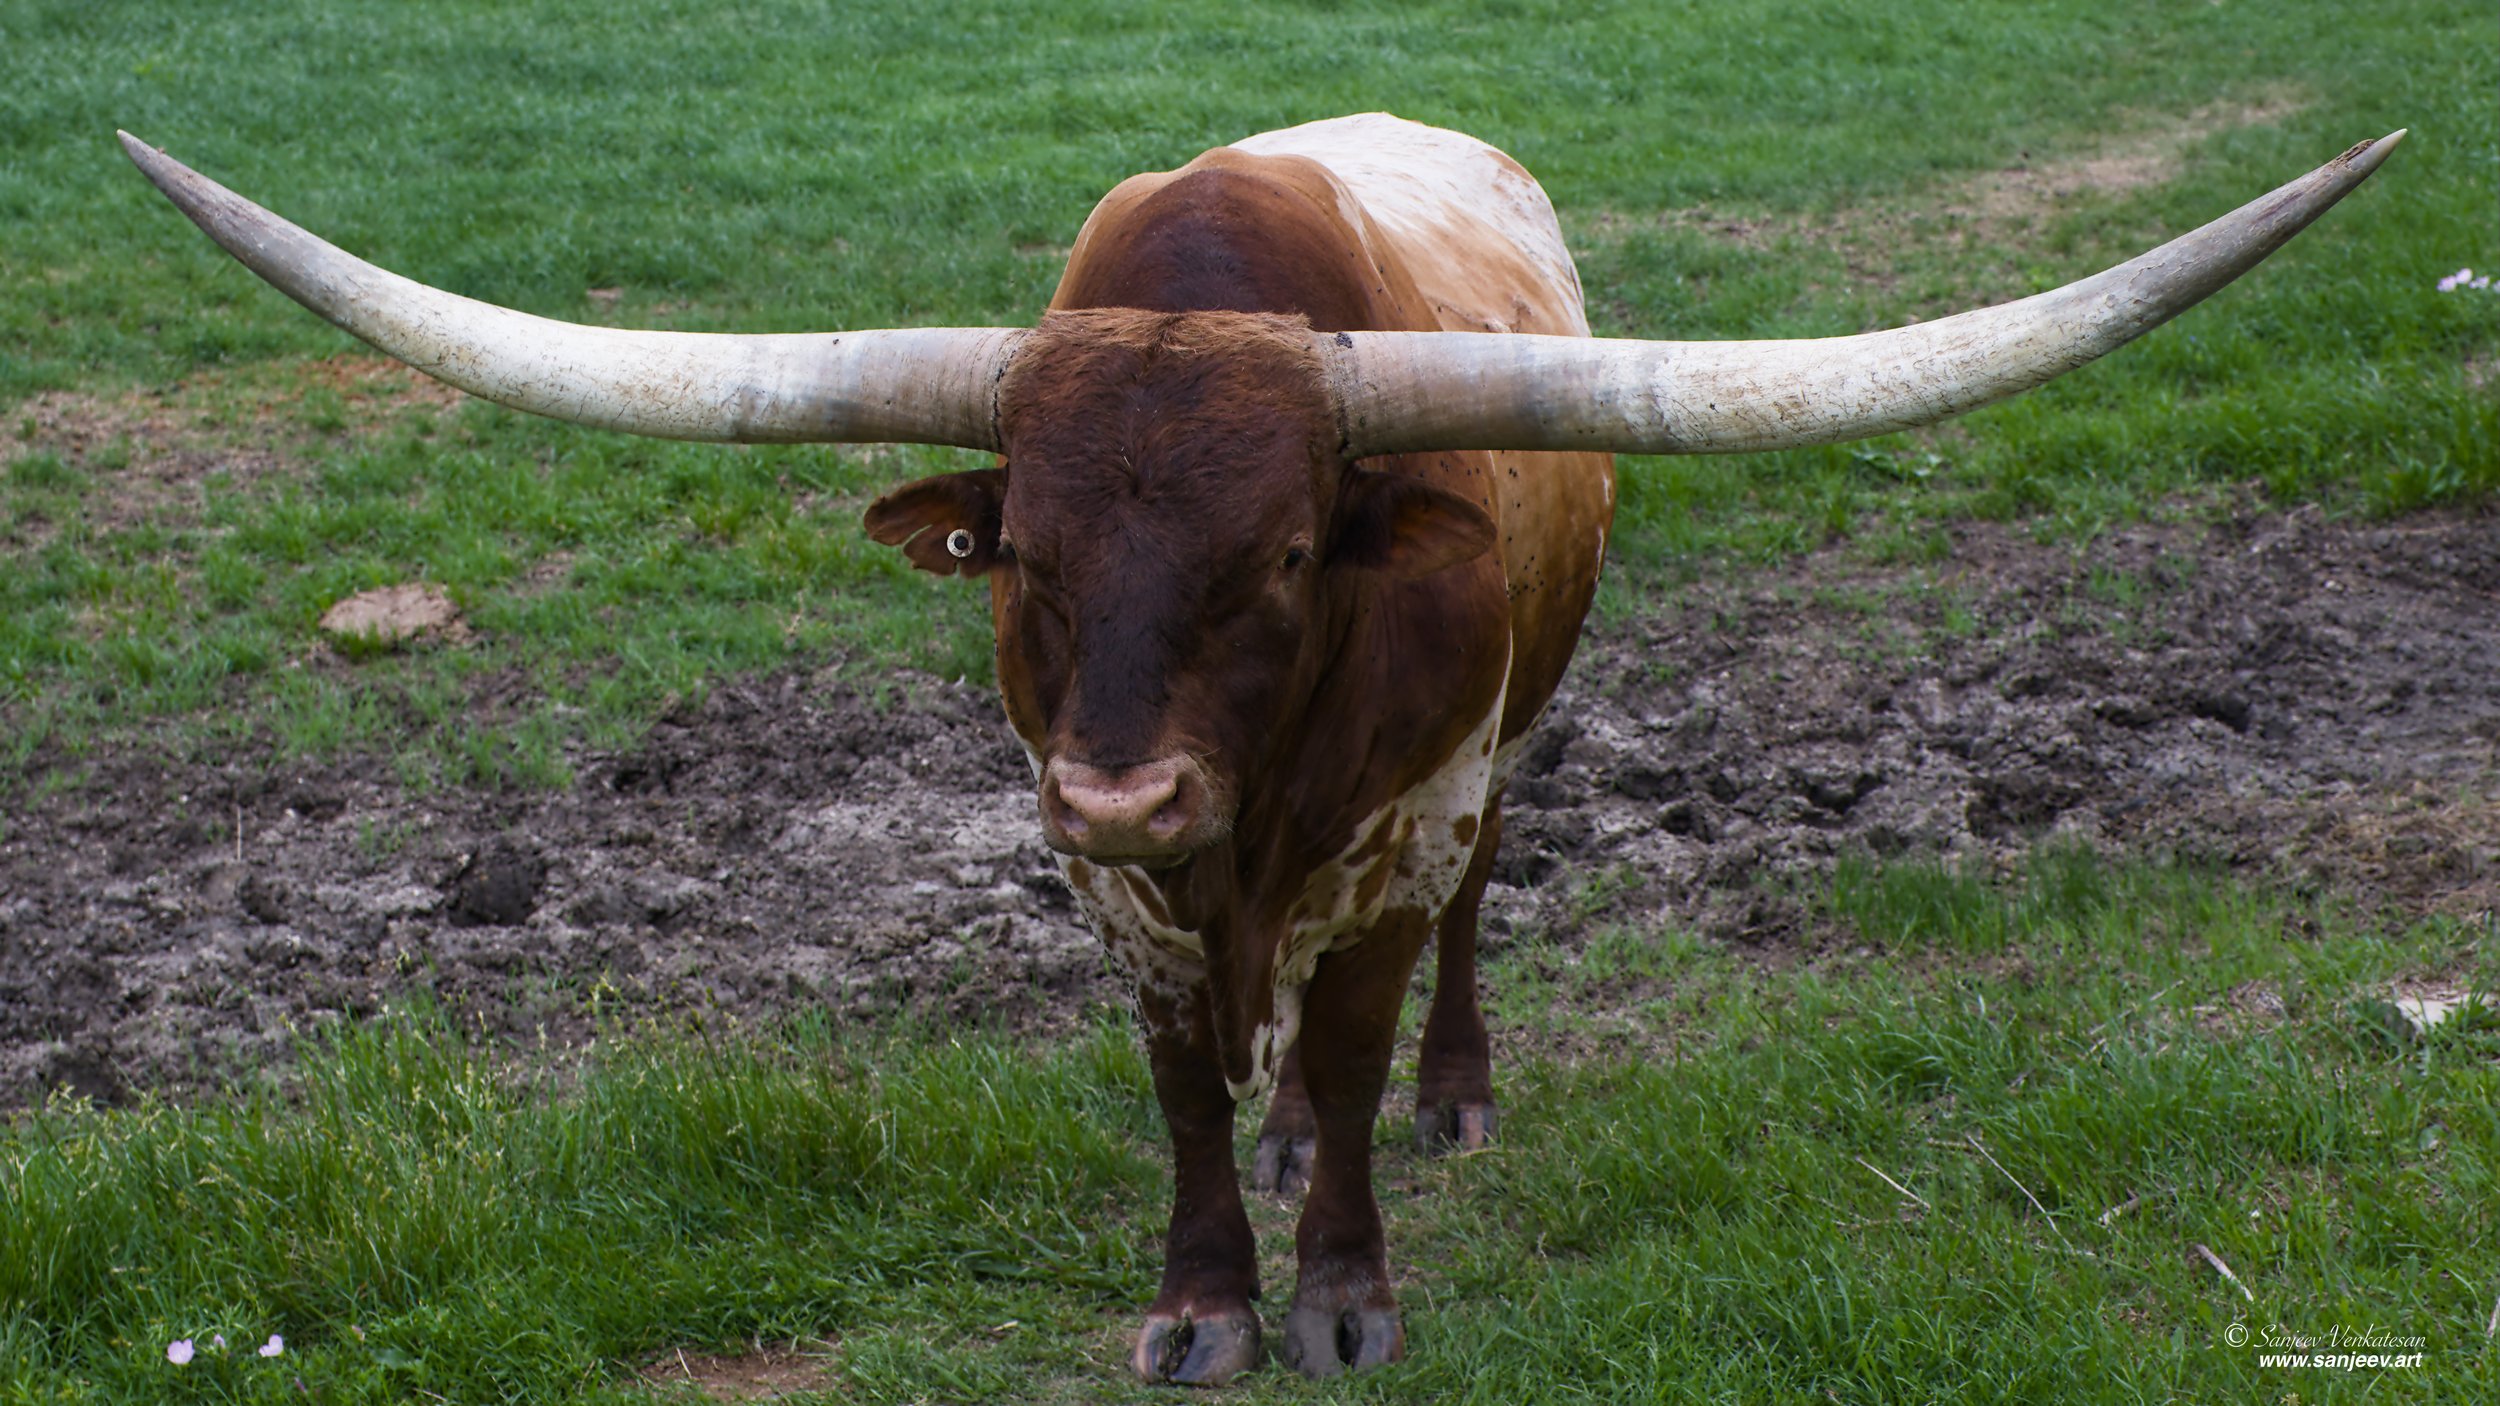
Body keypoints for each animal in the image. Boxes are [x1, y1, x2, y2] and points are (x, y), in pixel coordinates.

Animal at [121, 114, 2398, 1382]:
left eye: (1290, 548)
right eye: (1022, 550)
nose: (1129, 783)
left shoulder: (1406, 813)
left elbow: (1358, 1040)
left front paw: (1342, 1291)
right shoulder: (1095, 871)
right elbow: (1183, 1095)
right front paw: (1205, 1295)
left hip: (1510, 751)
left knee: (1450, 947)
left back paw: (1449, 1093)